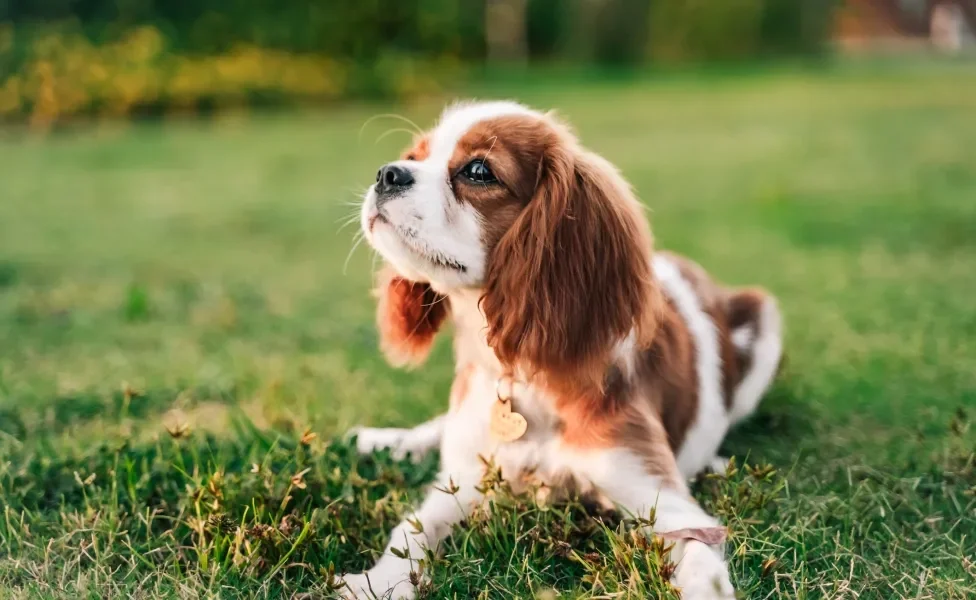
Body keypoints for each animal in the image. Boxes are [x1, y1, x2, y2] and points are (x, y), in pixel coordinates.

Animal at [340, 101, 780, 596]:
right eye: (414, 156)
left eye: (478, 171)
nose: (388, 173)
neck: (520, 372)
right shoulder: (466, 482)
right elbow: (411, 528)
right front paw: (380, 581)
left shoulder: (660, 498)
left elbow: (701, 558)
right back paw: (385, 441)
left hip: (765, 321)